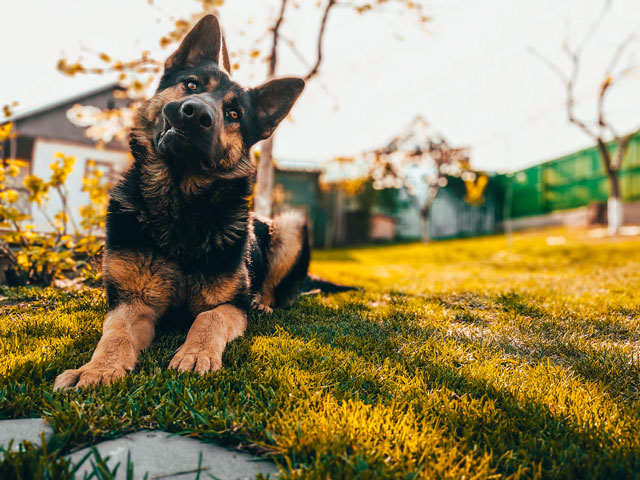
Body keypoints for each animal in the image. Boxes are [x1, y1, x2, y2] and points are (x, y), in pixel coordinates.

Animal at [53, 15, 314, 390]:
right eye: (191, 85)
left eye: (234, 114)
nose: (195, 114)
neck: (179, 205)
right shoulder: (133, 304)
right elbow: (115, 335)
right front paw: (98, 369)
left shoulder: (228, 305)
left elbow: (208, 321)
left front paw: (196, 353)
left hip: (292, 226)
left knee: (271, 290)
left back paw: (262, 304)